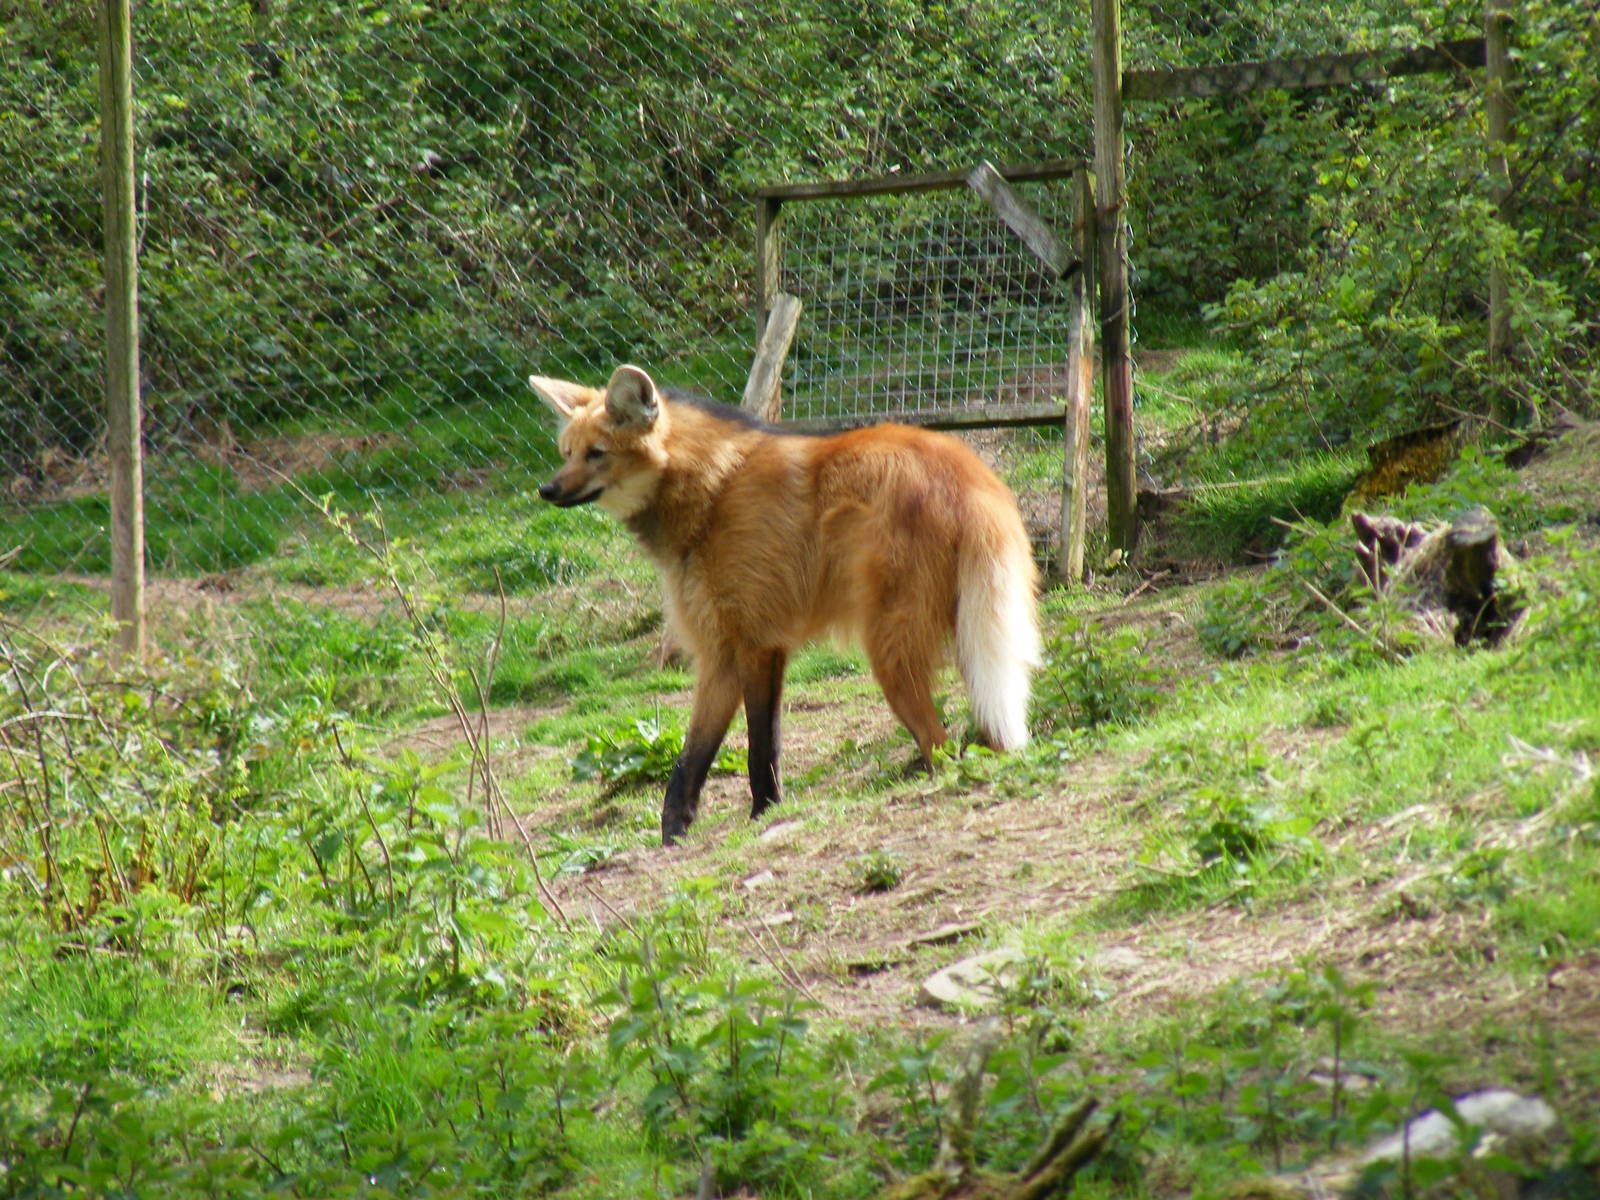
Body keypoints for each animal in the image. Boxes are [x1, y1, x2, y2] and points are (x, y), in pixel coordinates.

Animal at [532, 365, 1040, 844]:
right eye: (566, 453)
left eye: (597, 452)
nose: (547, 490)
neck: (710, 489)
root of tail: (970, 473)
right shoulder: (728, 649)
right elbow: (698, 755)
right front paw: (676, 834)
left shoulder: (753, 639)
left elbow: (757, 746)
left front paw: (760, 814)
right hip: (974, 629)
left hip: (890, 647)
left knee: (939, 743)